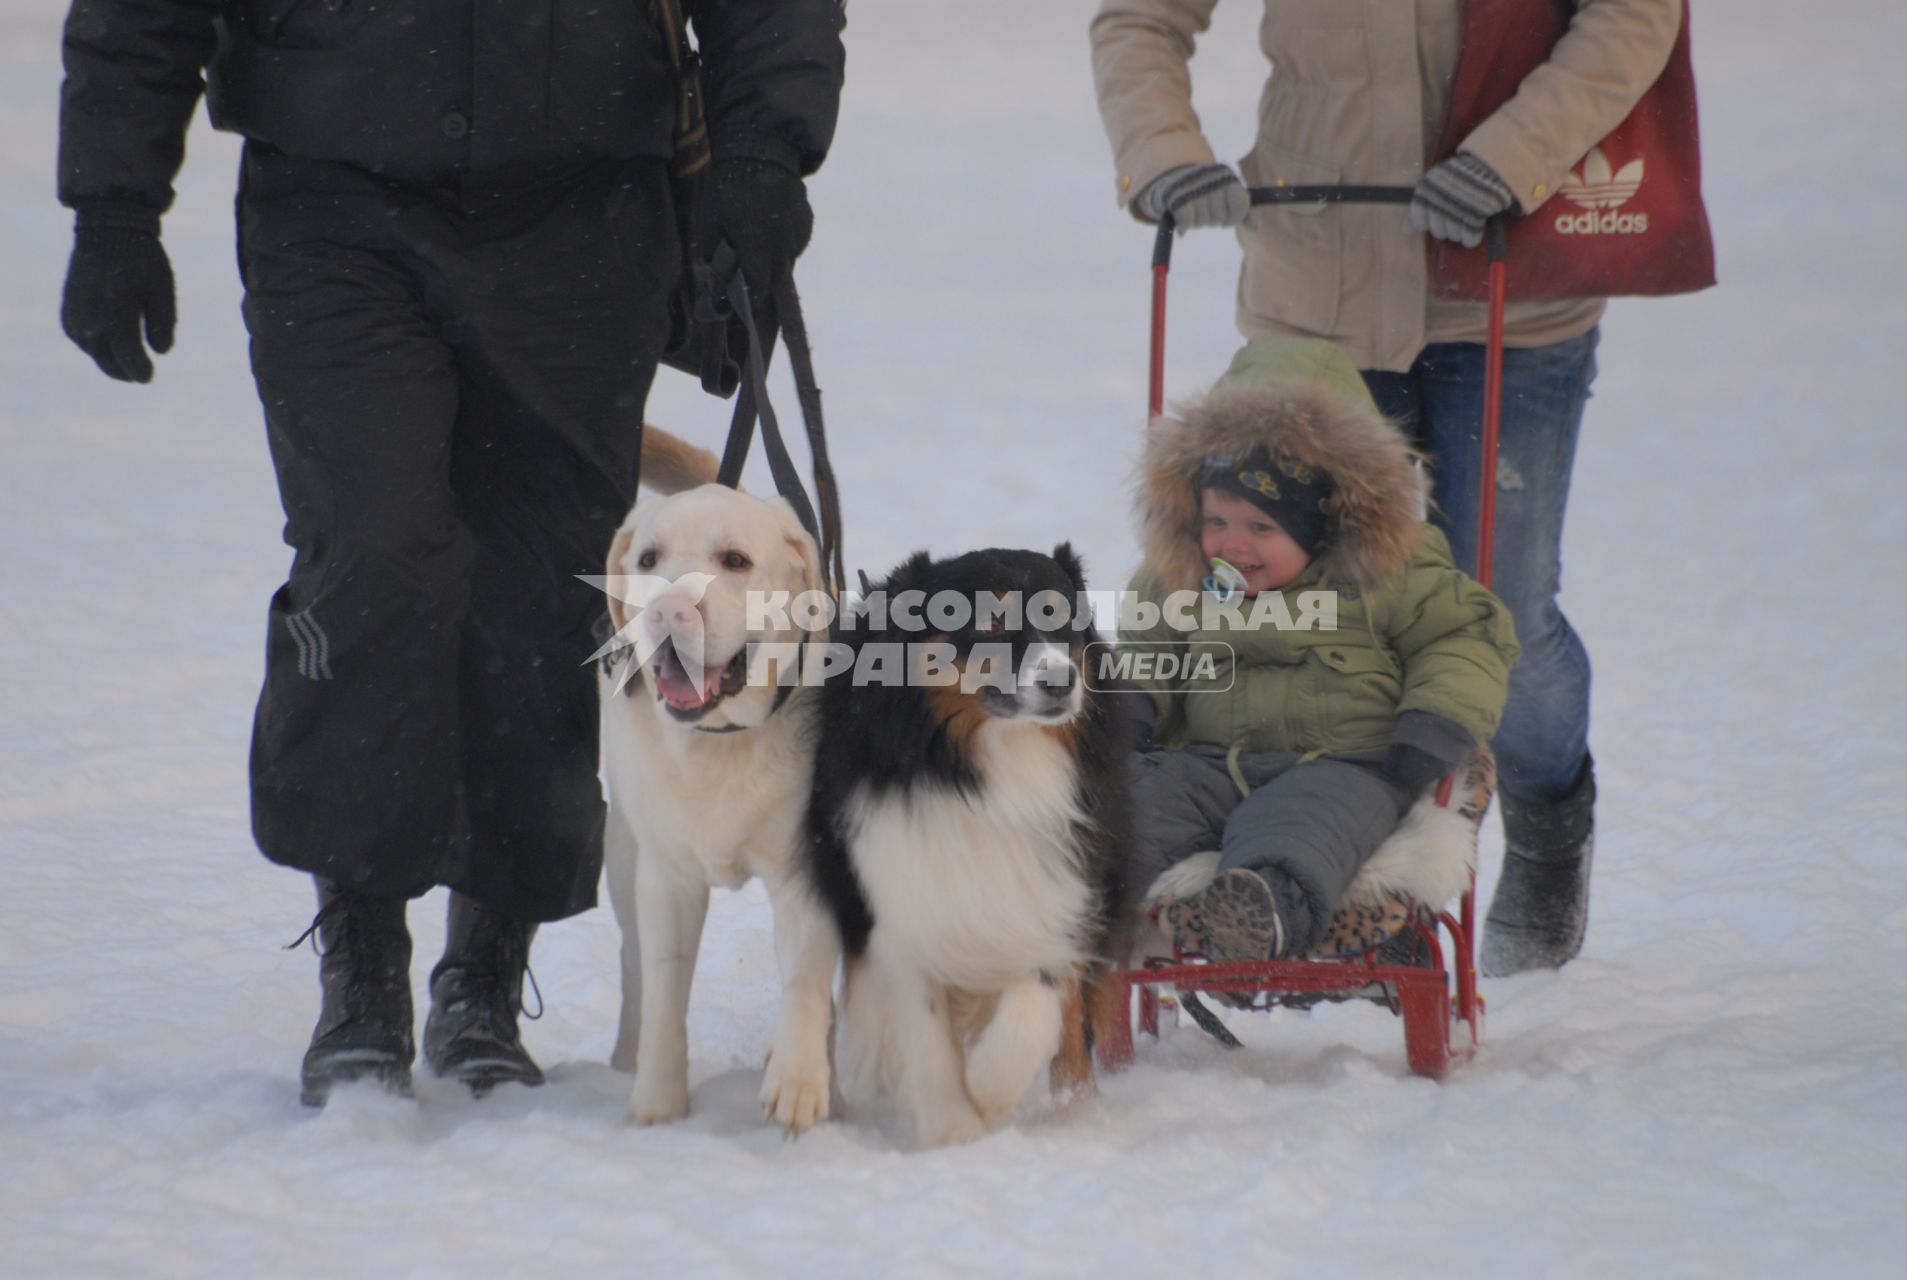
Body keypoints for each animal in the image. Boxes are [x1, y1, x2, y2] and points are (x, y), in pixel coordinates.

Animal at [594, 434, 835, 1136]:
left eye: (735, 560)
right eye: (649, 558)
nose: (670, 607)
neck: (721, 742)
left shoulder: (808, 869)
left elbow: (806, 978)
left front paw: (799, 1081)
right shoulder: (667, 877)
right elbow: (666, 990)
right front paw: (657, 1106)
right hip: (624, 855)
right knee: (635, 967)